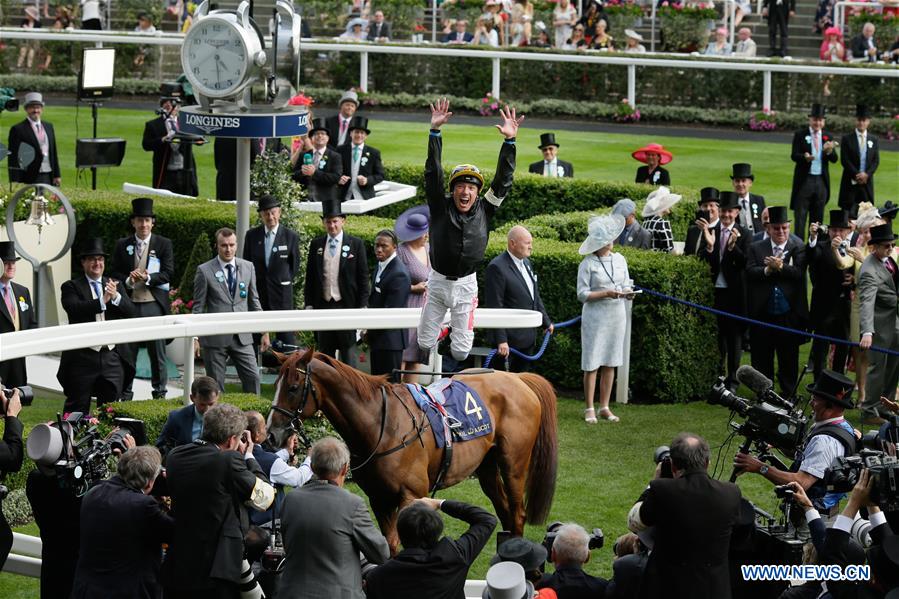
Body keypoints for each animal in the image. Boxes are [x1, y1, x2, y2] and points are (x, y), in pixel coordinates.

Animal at [270, 350, 560, 556]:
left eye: (293, 388)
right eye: (277, 384)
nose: (273, 434)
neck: (381, 424)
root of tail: (518, 378)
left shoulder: (410, 495)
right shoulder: (379, 499)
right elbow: (389, 546)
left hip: (513, 465)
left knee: (518, 514)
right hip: (486, 468)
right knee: (505, 513)